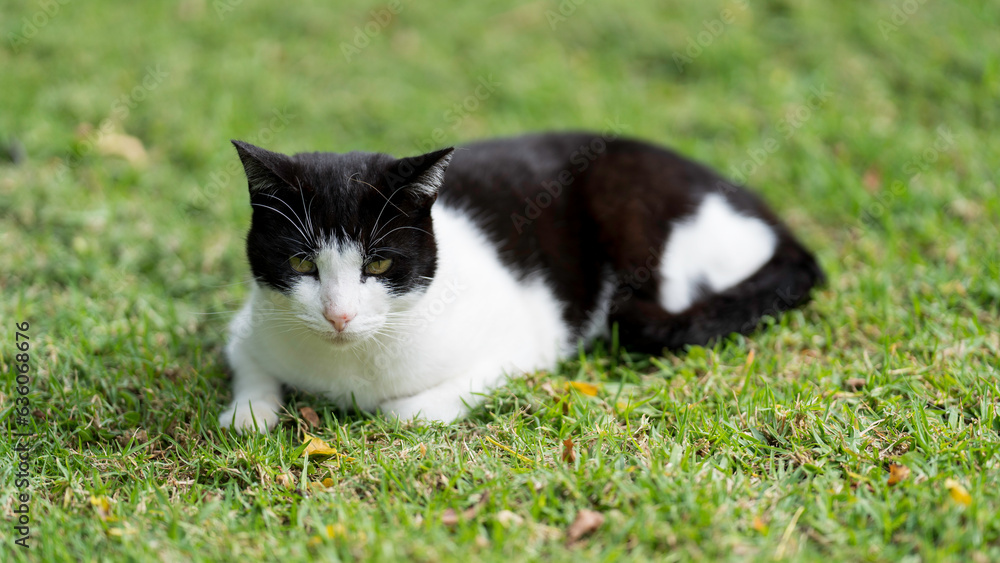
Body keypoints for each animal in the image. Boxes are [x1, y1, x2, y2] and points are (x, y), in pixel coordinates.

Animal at [219, 131, 820, 432]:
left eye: (381, 266)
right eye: (302, 264)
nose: (339, 314)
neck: (347, 366)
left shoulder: (520, 345)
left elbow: (405, 412)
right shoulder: (248, 325)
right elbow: (250, 376)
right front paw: (250, 412)